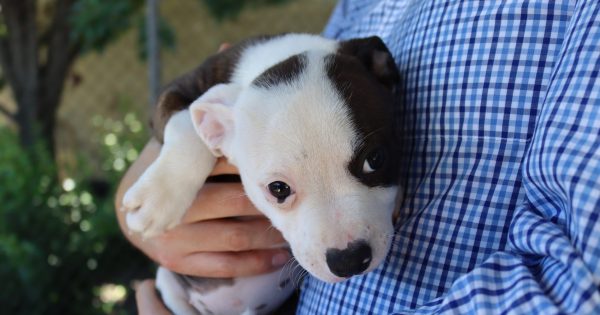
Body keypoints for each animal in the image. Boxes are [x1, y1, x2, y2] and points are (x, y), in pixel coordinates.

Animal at [122, 34, 400, 315]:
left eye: (375, 160)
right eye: (278, 188)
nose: (349, 259)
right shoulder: (180, 88)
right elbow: (184, 119)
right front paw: (158, 196)